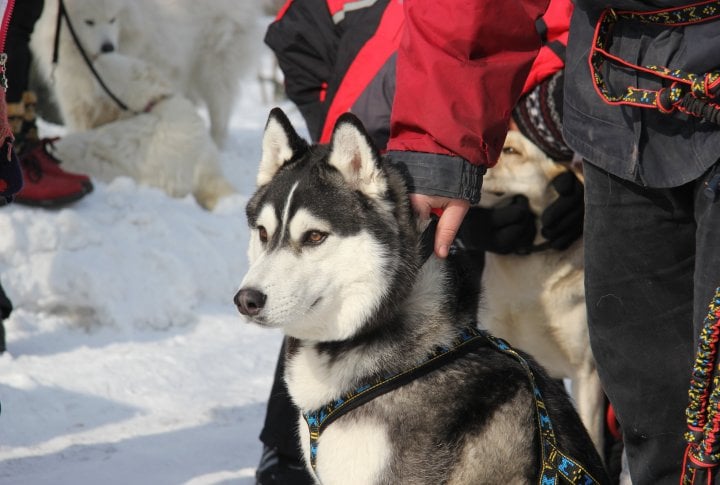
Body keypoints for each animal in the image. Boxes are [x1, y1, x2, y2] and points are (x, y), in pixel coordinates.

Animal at [32, 0, 262, 147]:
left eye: (113, 19)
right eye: (89, 22)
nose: (108, 47)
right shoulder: (75, 97)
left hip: (213, 72)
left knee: (220, 113)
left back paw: (216, 144)